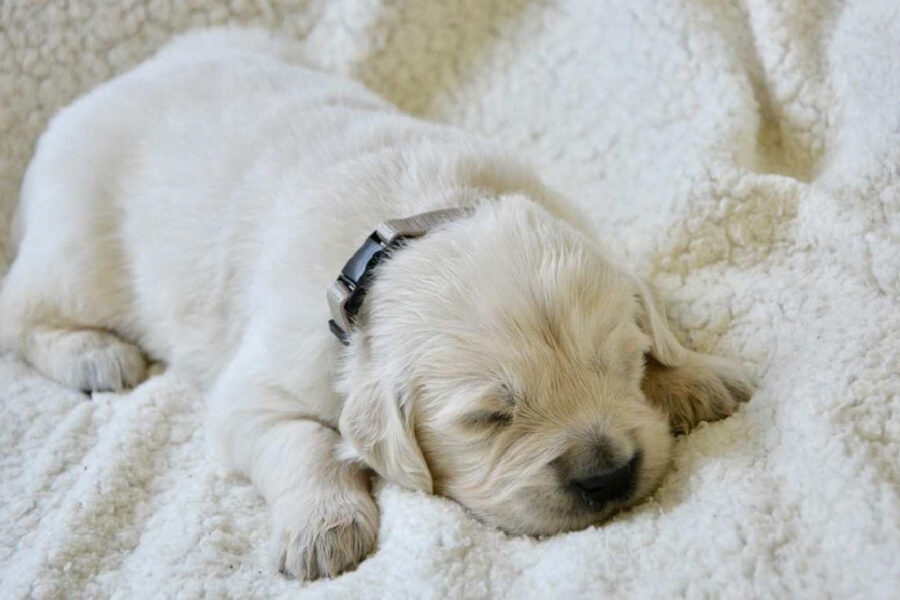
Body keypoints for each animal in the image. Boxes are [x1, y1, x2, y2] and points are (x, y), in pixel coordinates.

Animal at [0, 28, 752, 580]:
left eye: (624, 364)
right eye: (488, 418)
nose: (610, 476)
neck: (411, 224)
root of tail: (112, 85)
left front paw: (695, 375)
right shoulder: (260, 389)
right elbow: (306, 441)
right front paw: (323, 528)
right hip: (79, 249)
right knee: (21, 310)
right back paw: (94, 354)